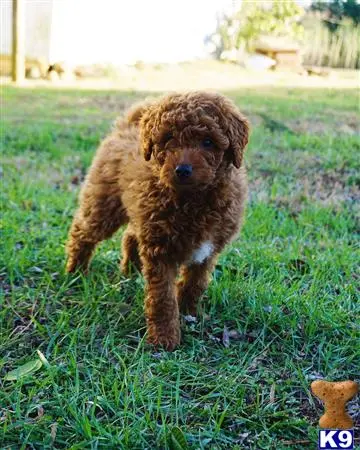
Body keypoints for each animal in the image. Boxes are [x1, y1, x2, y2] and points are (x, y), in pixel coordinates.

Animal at [66, 91, 249, 352]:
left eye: (208, 142)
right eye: (169, 138)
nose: (182, 170)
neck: (193, 200)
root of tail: (127, 125)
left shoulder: (208, 250)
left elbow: (195, 284)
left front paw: (190, 313)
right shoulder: (161, 251)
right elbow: (162, 298)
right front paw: (164, 339)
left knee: (130, 235)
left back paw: (131, 270)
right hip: (104, 202)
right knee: (83, 232)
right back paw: (76, 271)